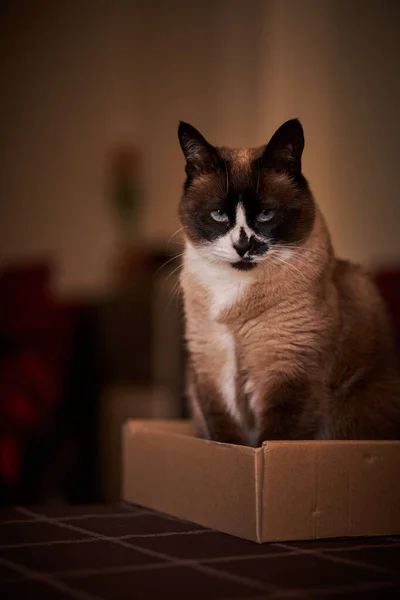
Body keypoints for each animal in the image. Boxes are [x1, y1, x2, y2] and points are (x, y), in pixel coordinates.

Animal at [177, 119, 400, 442]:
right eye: (218, 215)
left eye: (266, 214)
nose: (243, 246)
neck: (234, 293)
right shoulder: (211, 365)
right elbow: (225, 436)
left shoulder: (289, 366)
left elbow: (275, 436)